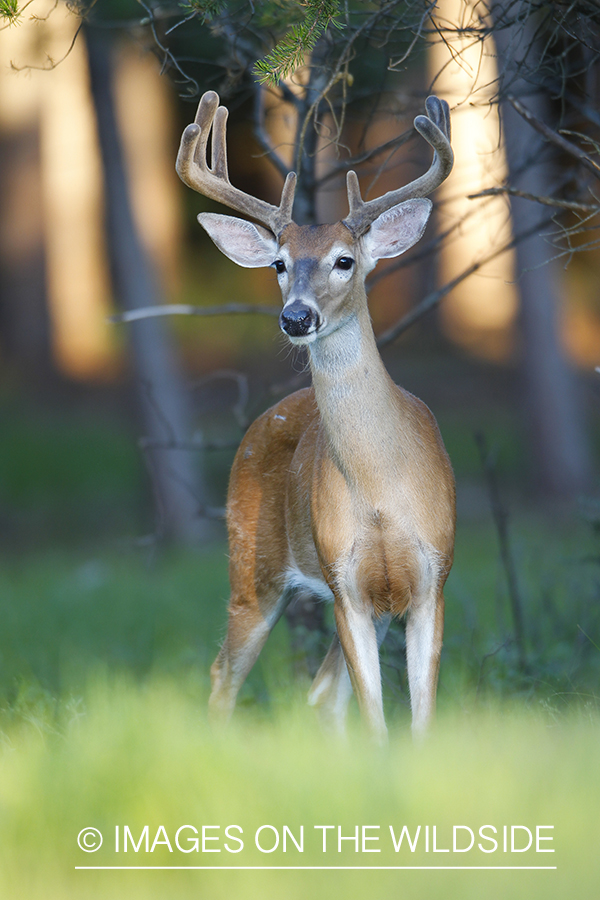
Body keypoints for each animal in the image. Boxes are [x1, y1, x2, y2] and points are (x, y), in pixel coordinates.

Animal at [177, 89, 454, 740]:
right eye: (279, 264)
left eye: (345, 261)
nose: (297, 317)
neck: (382, 491)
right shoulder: (344, 581)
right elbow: (377, 718)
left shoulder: (431, 577)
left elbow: (420, 719)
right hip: (250, 565)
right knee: (223, 677)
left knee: (322, 692)